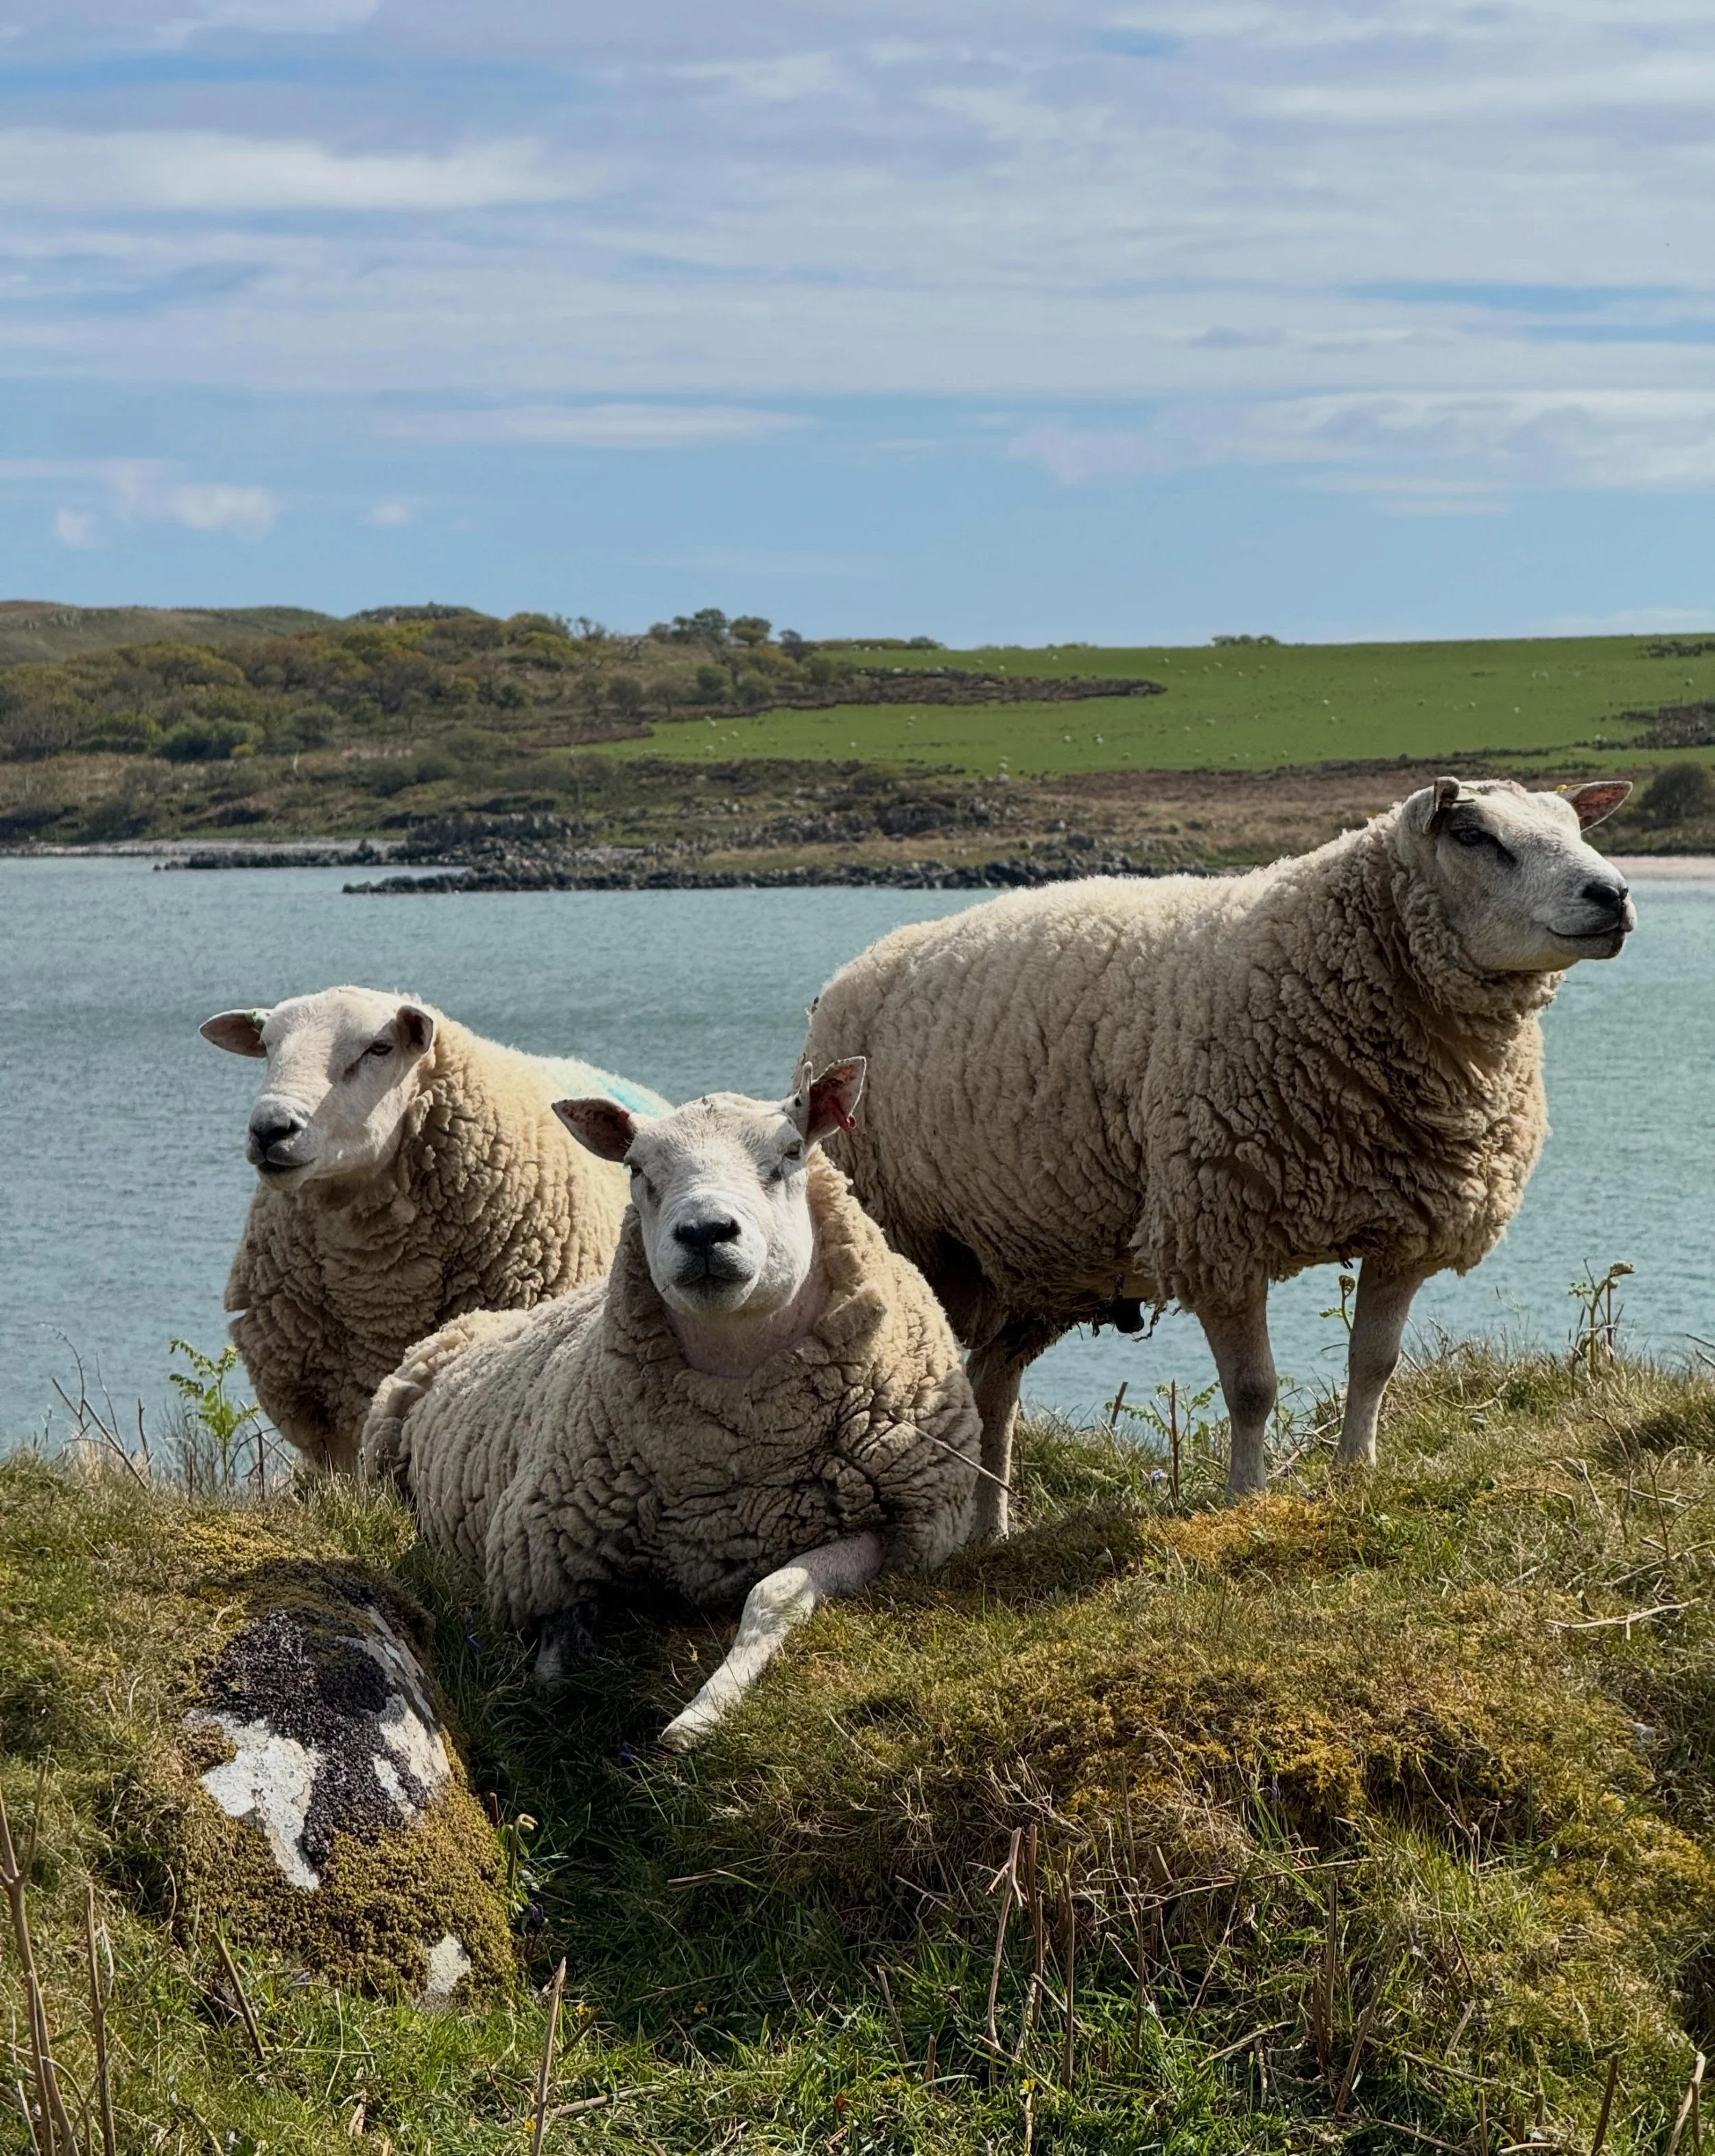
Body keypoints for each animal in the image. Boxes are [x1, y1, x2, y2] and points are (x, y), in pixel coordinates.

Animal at [360, 1061, 979, 1750]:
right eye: (637, 1168)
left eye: (792, 1151)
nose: (705, 1232)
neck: (740, 1446)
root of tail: (478, 1318)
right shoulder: (550, 1553)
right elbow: (554, 1654)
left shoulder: (900, 1532)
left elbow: (775, 1594)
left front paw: (702, 1714)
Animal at [803, 776, 1636, 1526]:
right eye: (1473, 836)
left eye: (1573, 823)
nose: (1615, 894)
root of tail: (858, 965)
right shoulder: (1218, 1226)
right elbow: (1253, 1389)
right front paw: (1246, 1496)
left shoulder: (1404, 1226)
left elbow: (1374, 1363)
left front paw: (1355, 1474)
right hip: (914, 1237)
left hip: (1028, 1263)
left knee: (990, 1388)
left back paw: (990, 1532)